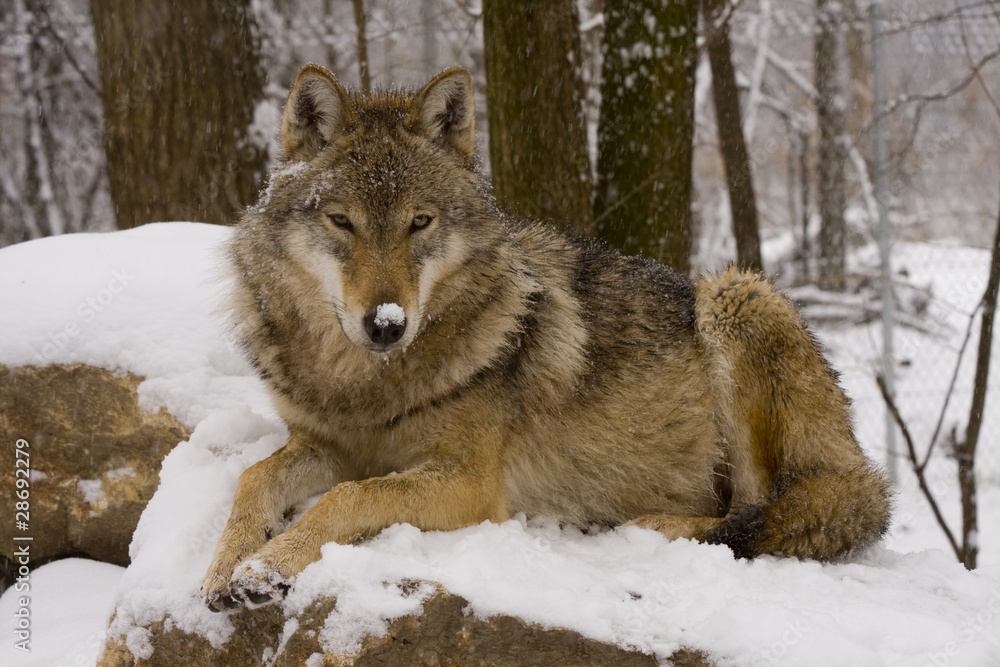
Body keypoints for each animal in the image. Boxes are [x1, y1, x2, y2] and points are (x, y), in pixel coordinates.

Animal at [201, 65, 892, 612]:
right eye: (341, 221)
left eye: (420, 222)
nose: (387, 323)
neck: (361, 383)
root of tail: (855, 459)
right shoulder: (324, 443)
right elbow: (253, 478)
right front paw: (226, 564)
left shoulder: (468, 484)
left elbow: (348, 497)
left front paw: (268, 565)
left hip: (738, 293)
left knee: (754, 513)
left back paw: (650, 526)